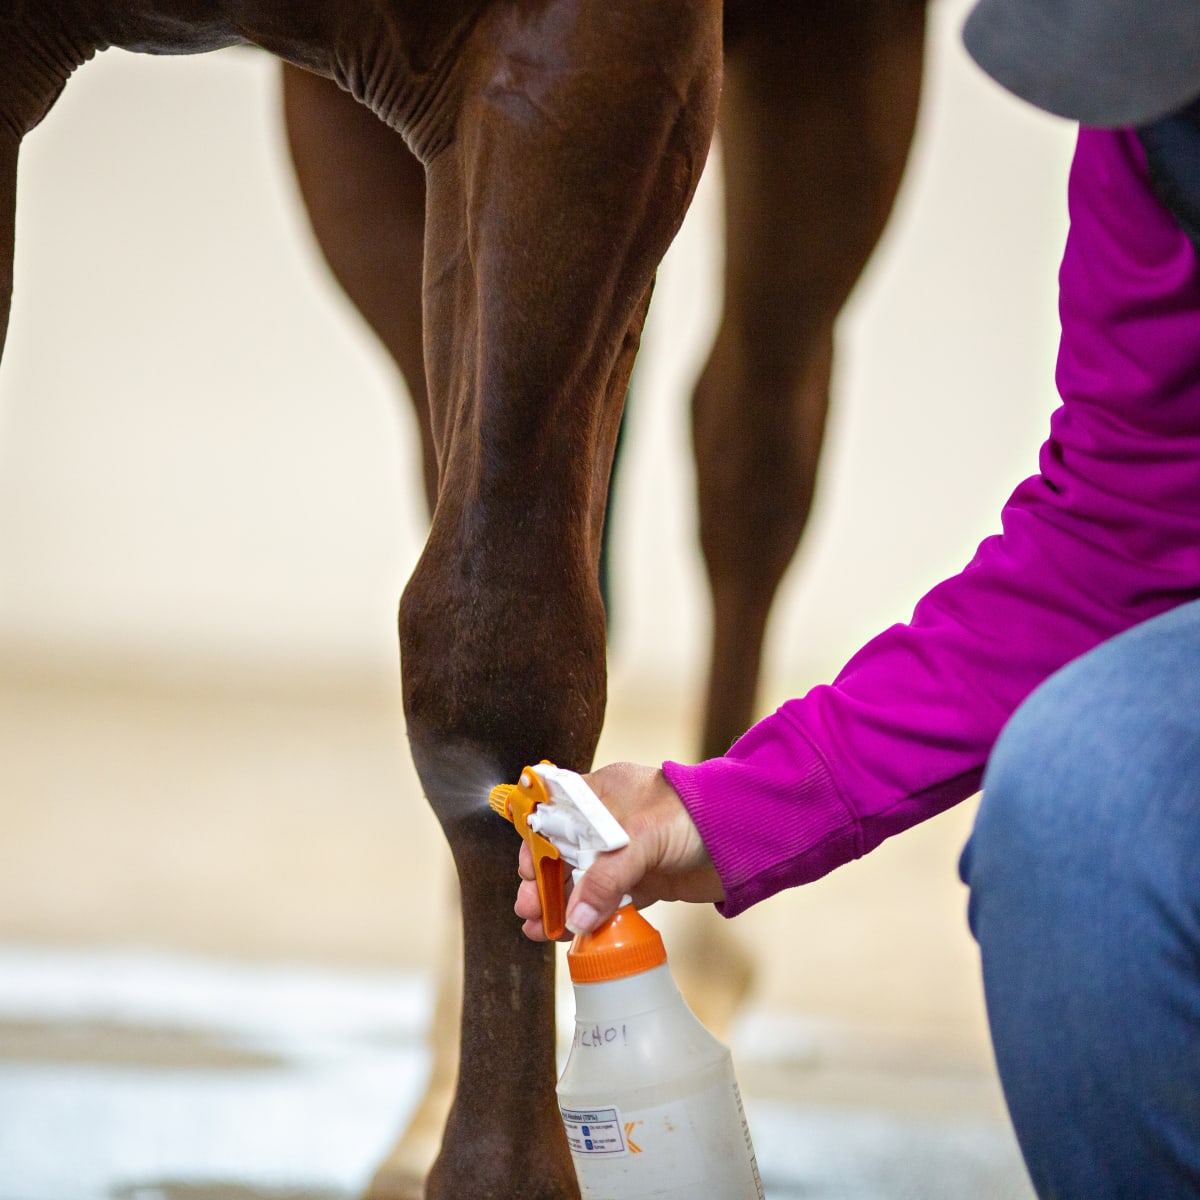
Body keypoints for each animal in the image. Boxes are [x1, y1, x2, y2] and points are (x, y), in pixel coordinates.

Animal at [0, 4, 926, 1195]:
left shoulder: (582, 65)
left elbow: (493, 651)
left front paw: (502, 1169)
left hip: (835, 56)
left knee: (754, 447)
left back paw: (709, 953)